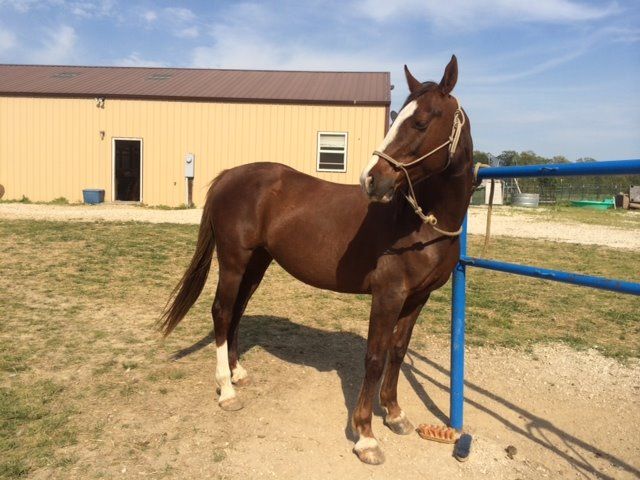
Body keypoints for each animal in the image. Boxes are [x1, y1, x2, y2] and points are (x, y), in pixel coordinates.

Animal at [160, 55, 474, 465]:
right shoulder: (388, 295)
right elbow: (374, 357)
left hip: (257, 263)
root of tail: (231, 175)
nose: (371, 180)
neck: (420, 222)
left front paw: (394, 414)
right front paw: (366, 436)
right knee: (223, 311)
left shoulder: (417, 297)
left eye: (420, 121)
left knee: (238, 311)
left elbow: (397, 351)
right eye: (396, 118)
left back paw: (238, 372)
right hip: (233, 260)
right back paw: (227, 391)